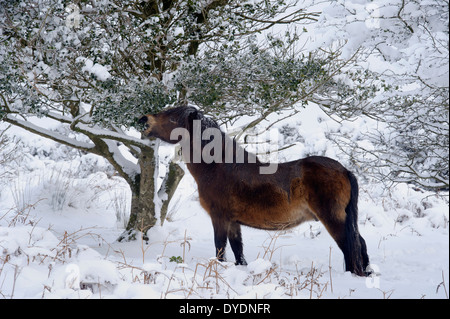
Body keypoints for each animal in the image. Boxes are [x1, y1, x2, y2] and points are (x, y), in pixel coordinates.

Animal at [140, 107, 370, 278]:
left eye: (172, 117)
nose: (144, 119)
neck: (219, 167)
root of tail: (344, 170)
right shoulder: (233, 222)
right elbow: (238, 251)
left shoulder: (219, 218)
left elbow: (220, 249)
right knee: (360, 244)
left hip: (333, 219)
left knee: (351, 247)